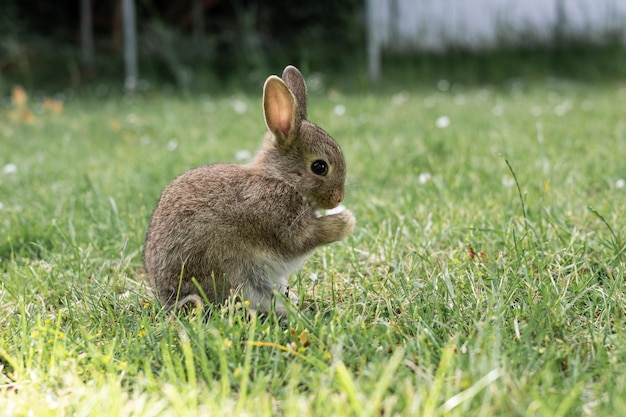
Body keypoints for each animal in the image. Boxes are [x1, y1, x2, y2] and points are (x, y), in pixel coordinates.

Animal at [143, 65, 354, 314]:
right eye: (319, 167)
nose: (338, 198)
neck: (281, 180)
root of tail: (168, 299)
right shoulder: (280, 223)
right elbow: (304, 238)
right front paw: (346, 222)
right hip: (237, 272)